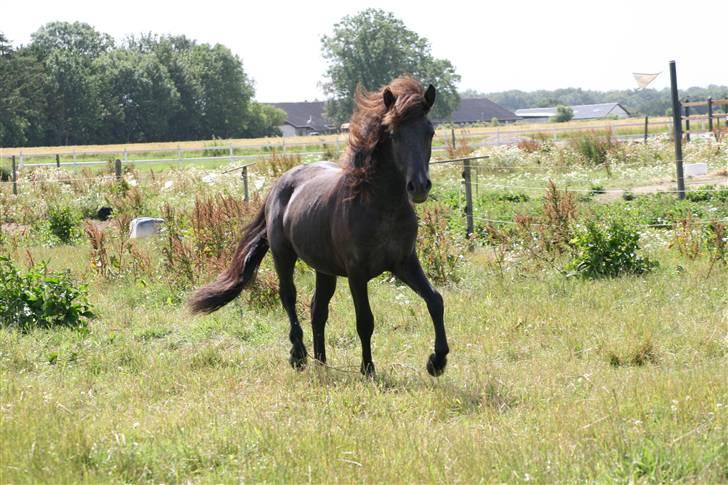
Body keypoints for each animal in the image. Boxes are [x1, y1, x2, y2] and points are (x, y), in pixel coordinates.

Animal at [188, 77, 450, 376]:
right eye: (394, 134)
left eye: (430, 132)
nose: (419, 187)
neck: (380, 206)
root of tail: (281, 183)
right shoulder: (357, 273)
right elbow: (365, 320)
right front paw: (368, 369)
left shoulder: (404, 263)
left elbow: (435, 301)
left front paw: (437, 361)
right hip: (283, 255)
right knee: (289, 298)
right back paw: (299, 356)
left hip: (324, 269)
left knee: (317, 308)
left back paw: (321, 361)